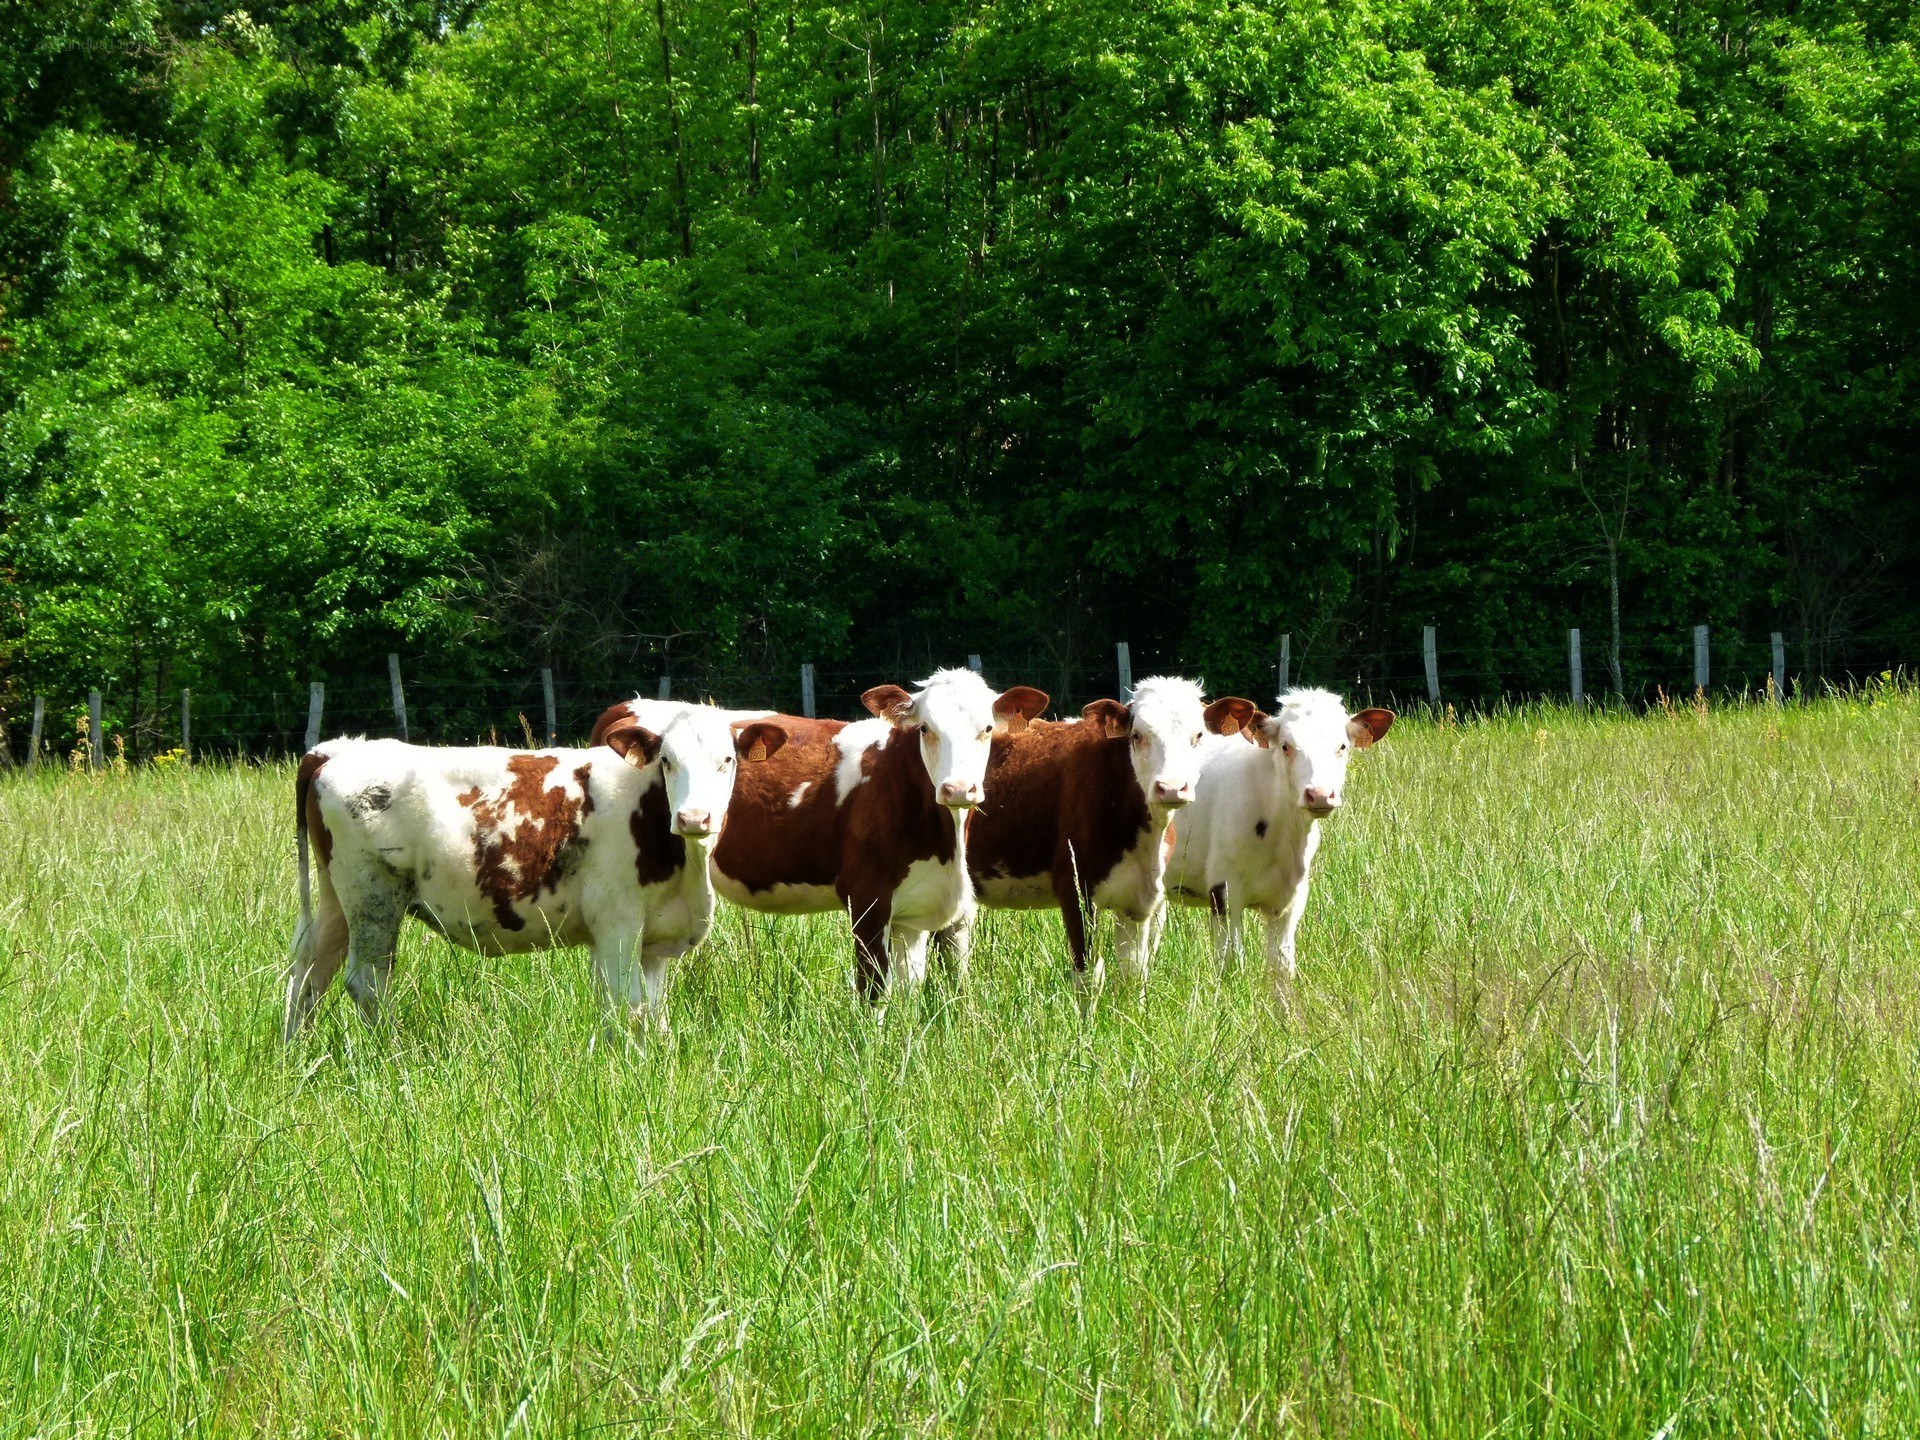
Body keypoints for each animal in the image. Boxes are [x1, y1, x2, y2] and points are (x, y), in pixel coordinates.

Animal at [285, 703, 788, 1039]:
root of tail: (336, 750)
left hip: (336, 898)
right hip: (373, 897)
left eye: (727, 760)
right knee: (366, 983)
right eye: (667, 761)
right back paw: (392, 1054)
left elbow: (652, 1015)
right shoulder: (617, 923)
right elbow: (626, 1008)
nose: (693, 817)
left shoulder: (653, 940)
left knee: (309, 972)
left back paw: (297, 1056)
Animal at [592, 669, 1049, 1001]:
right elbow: (873, 993)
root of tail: (630, 704)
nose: (958, 789)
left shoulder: (927, 911)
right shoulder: (867, 898)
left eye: (987, 729)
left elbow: (917, 992)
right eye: (925, 729)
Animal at [933, 676, 1259, 990]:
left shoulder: (1140, 899)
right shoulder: (1075, 890)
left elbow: (1134, 973)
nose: (1170, 787)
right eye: (1137, 735)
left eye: (1198, 736)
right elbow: (1088, 975)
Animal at [1162, 687, 1393, 984]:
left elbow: (1281, 966)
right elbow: (1231, 961)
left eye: (1342, 746)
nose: (1320, 794)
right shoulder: (1223, 891)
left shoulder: (1290, 900)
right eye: (1286, 746)